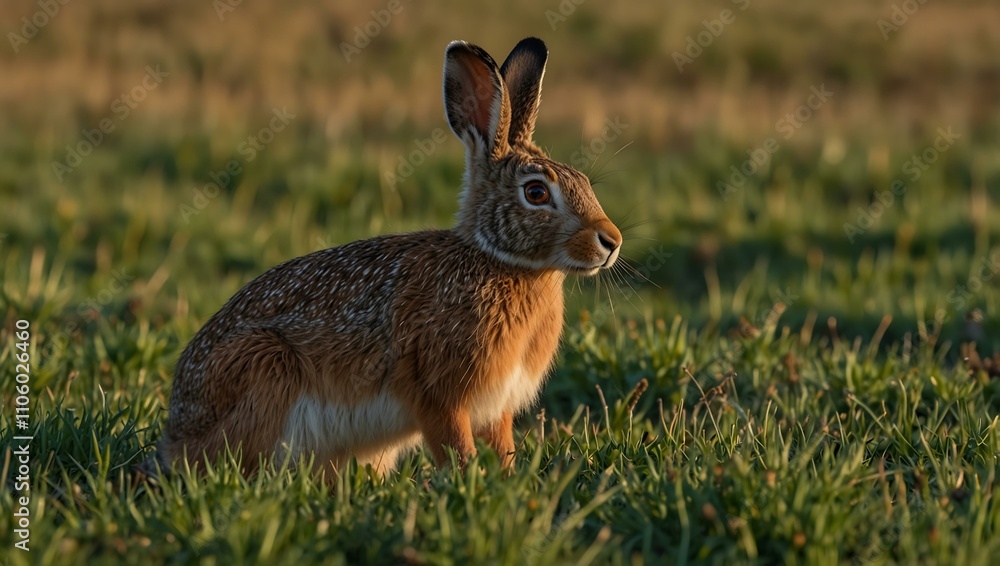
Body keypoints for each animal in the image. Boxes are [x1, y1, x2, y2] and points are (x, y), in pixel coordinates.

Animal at [153, 36, 622, 478]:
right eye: (536, 193)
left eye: (585, 182)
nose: (612, 241)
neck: (501, 262)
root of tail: (177, 434)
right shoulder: (439, 396)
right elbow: (456, 447)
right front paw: (471, 481)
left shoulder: (497, 407)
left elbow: (501, 446)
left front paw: (505, 482)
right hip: (266, 366)